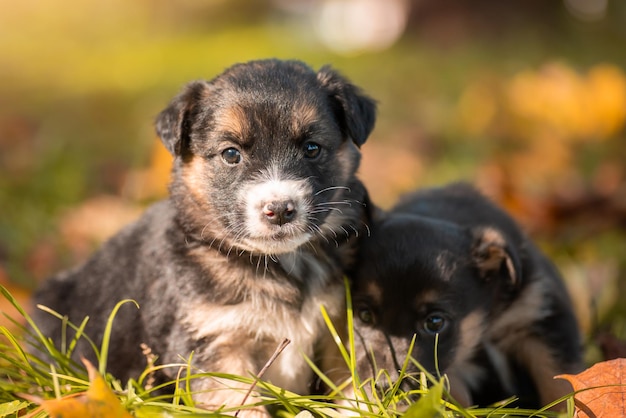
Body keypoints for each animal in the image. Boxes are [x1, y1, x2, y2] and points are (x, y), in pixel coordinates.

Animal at [31, 60, 376, 416]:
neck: (283, 264)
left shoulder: (339, 324)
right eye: (231, 154)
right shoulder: (215, 340)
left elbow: (353, 378)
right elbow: (239, 402)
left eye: (311, 148)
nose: (279, 210)